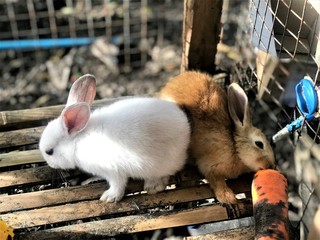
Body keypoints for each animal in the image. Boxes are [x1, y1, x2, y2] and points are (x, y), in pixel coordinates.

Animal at [39, 74, 190, 202]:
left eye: (49, 151)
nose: (50, 165)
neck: (77, 140)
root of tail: (186, 128)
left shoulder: (113, 170)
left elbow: (118, 184)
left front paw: (109, 197)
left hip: (159, 163)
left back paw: (152, 186)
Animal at [160, 71, 276, 204]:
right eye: (259, 144)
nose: (271, 166)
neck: (235, 147)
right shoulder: (209, 166)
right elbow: (217, 182)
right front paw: (229, 199)